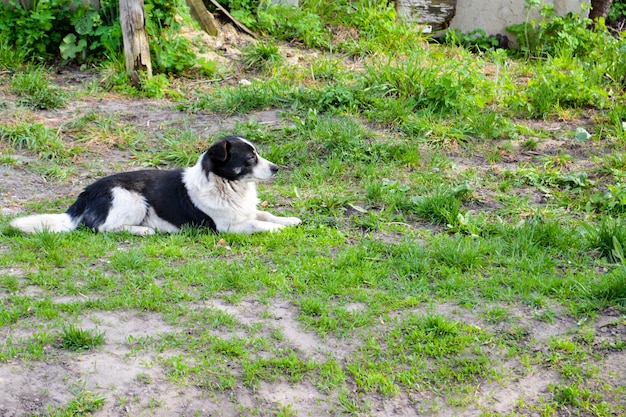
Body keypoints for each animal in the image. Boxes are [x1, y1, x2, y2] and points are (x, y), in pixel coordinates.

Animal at [9, 136, 302, 234]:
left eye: (257, 153)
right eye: (250, 157)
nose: (276, 168)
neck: (227, 186)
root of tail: (86, 194)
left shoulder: (246, 211)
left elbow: (266, 214)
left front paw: (289, 220)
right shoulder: (227, 227)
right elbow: (257, 224)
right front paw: (277, 229)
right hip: (134, 200)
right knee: (103, 228)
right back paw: (143, 231)